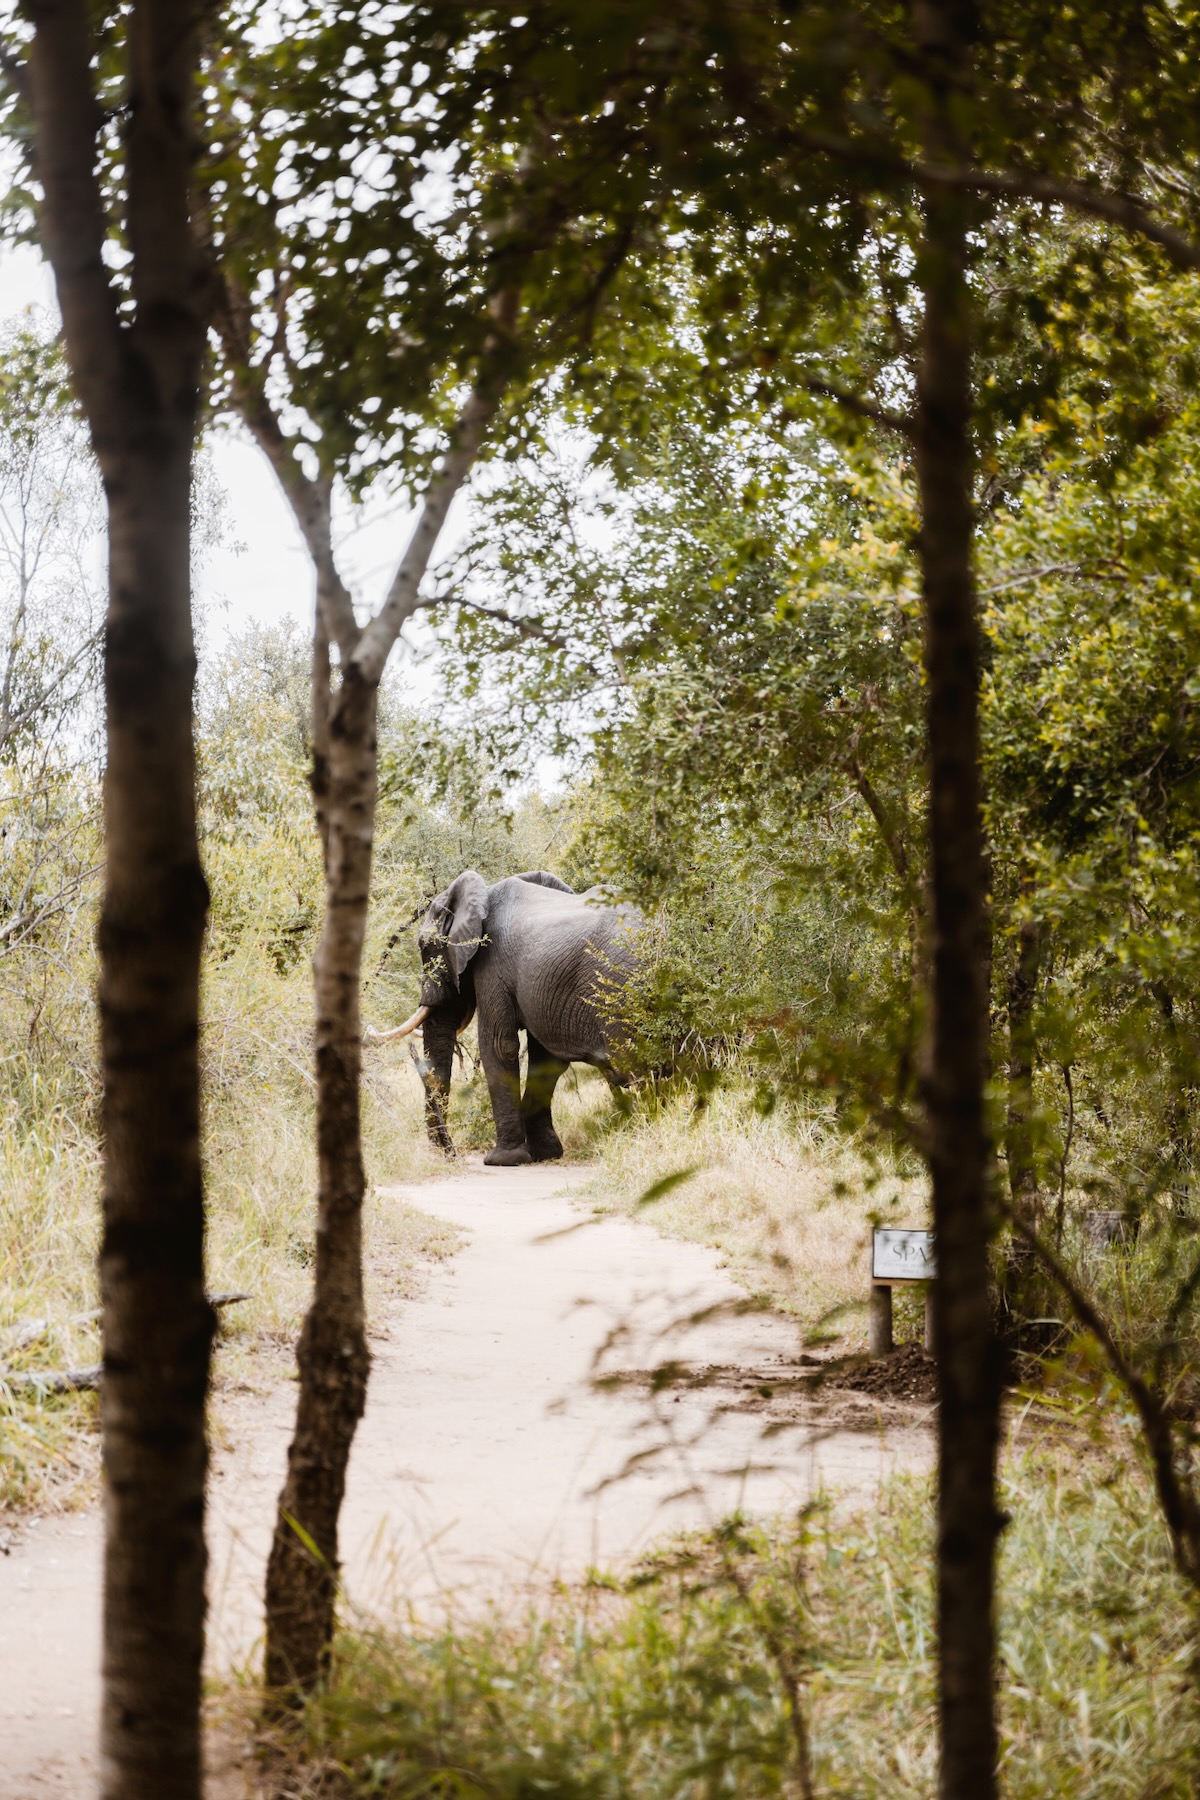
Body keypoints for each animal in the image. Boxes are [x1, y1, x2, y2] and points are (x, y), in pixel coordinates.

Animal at [370, 871, 644, 1166]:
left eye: (425, 946)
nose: (449, 1155)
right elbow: (545, 1060)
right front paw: (544, 1154)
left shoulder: (493, 965)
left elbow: (498, 1046)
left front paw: (502, 1159)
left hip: (623, 989)